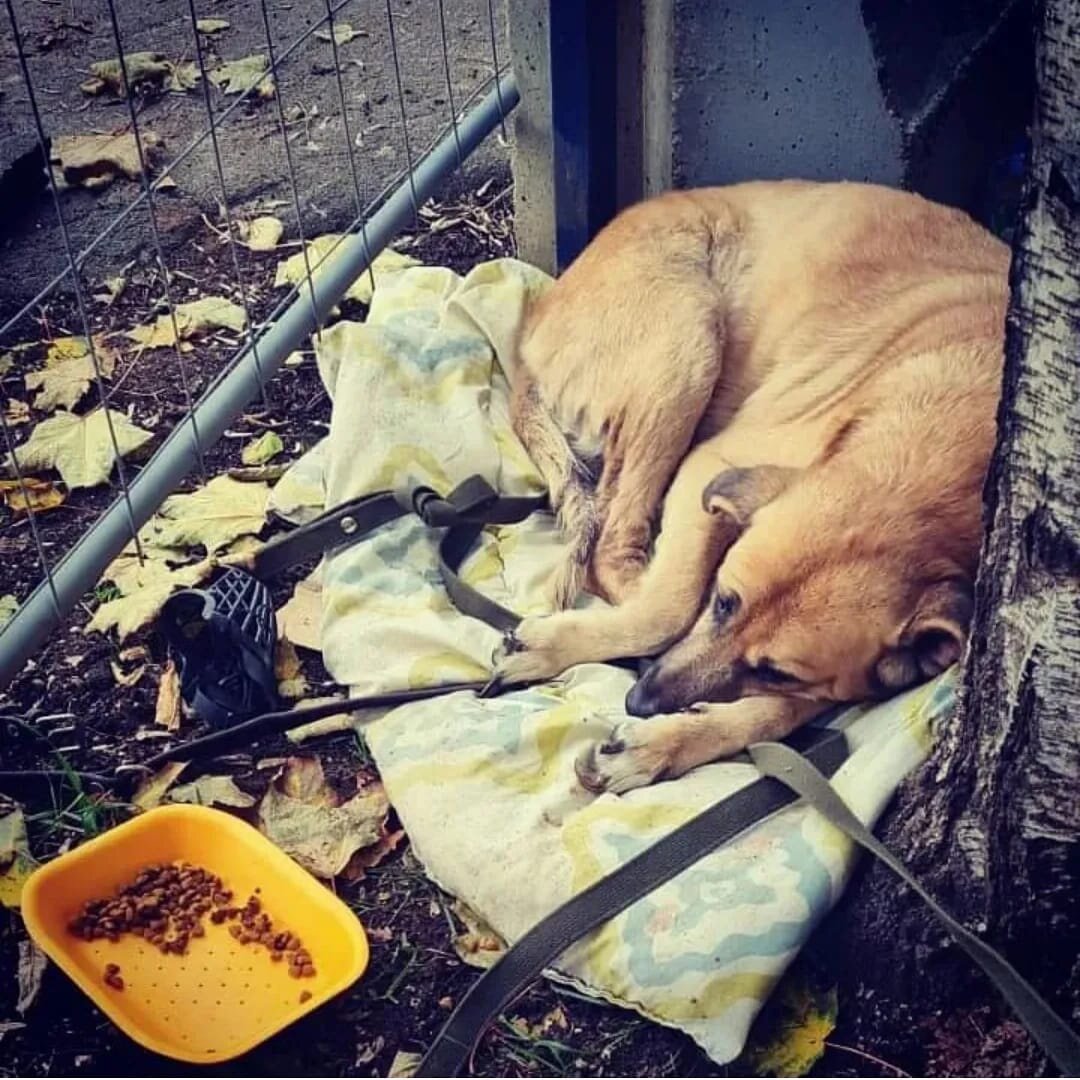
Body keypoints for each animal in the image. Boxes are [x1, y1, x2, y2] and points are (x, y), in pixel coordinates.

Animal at [495, 180, 1010, 795]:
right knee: (612, 547)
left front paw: (667, 743)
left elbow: (781, 711)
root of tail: (534, 326)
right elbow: (670, 608)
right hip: (688, 341)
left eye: (776, 670)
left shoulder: (842, 677)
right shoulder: (712, 467)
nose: (641, 701)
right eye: (723, 600)